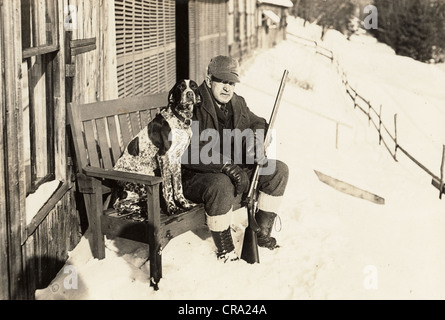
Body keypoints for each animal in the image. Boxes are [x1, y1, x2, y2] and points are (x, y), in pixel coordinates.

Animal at [112, 79, 201, 216]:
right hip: (143, 184)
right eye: (180, 87)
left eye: (194, 87)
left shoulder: (176, 159)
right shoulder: (163, 157)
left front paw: (185, 204)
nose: (190, 94)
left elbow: (178, 186)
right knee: (118, 204)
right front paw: (172, 208)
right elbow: (168, 187)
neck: (179, 119)